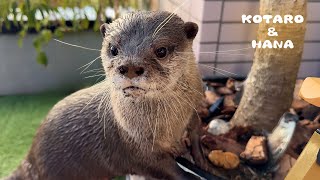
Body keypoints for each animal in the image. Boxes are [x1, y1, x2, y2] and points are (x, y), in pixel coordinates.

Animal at [6, 10, 204, 179]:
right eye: (113, 49)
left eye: (161, 50)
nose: (130, 66)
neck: (171, 126)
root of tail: (32, 155)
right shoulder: (136, 147)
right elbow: (167, 169)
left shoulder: (194, 111)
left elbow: (196, 133)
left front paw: (201, 159)